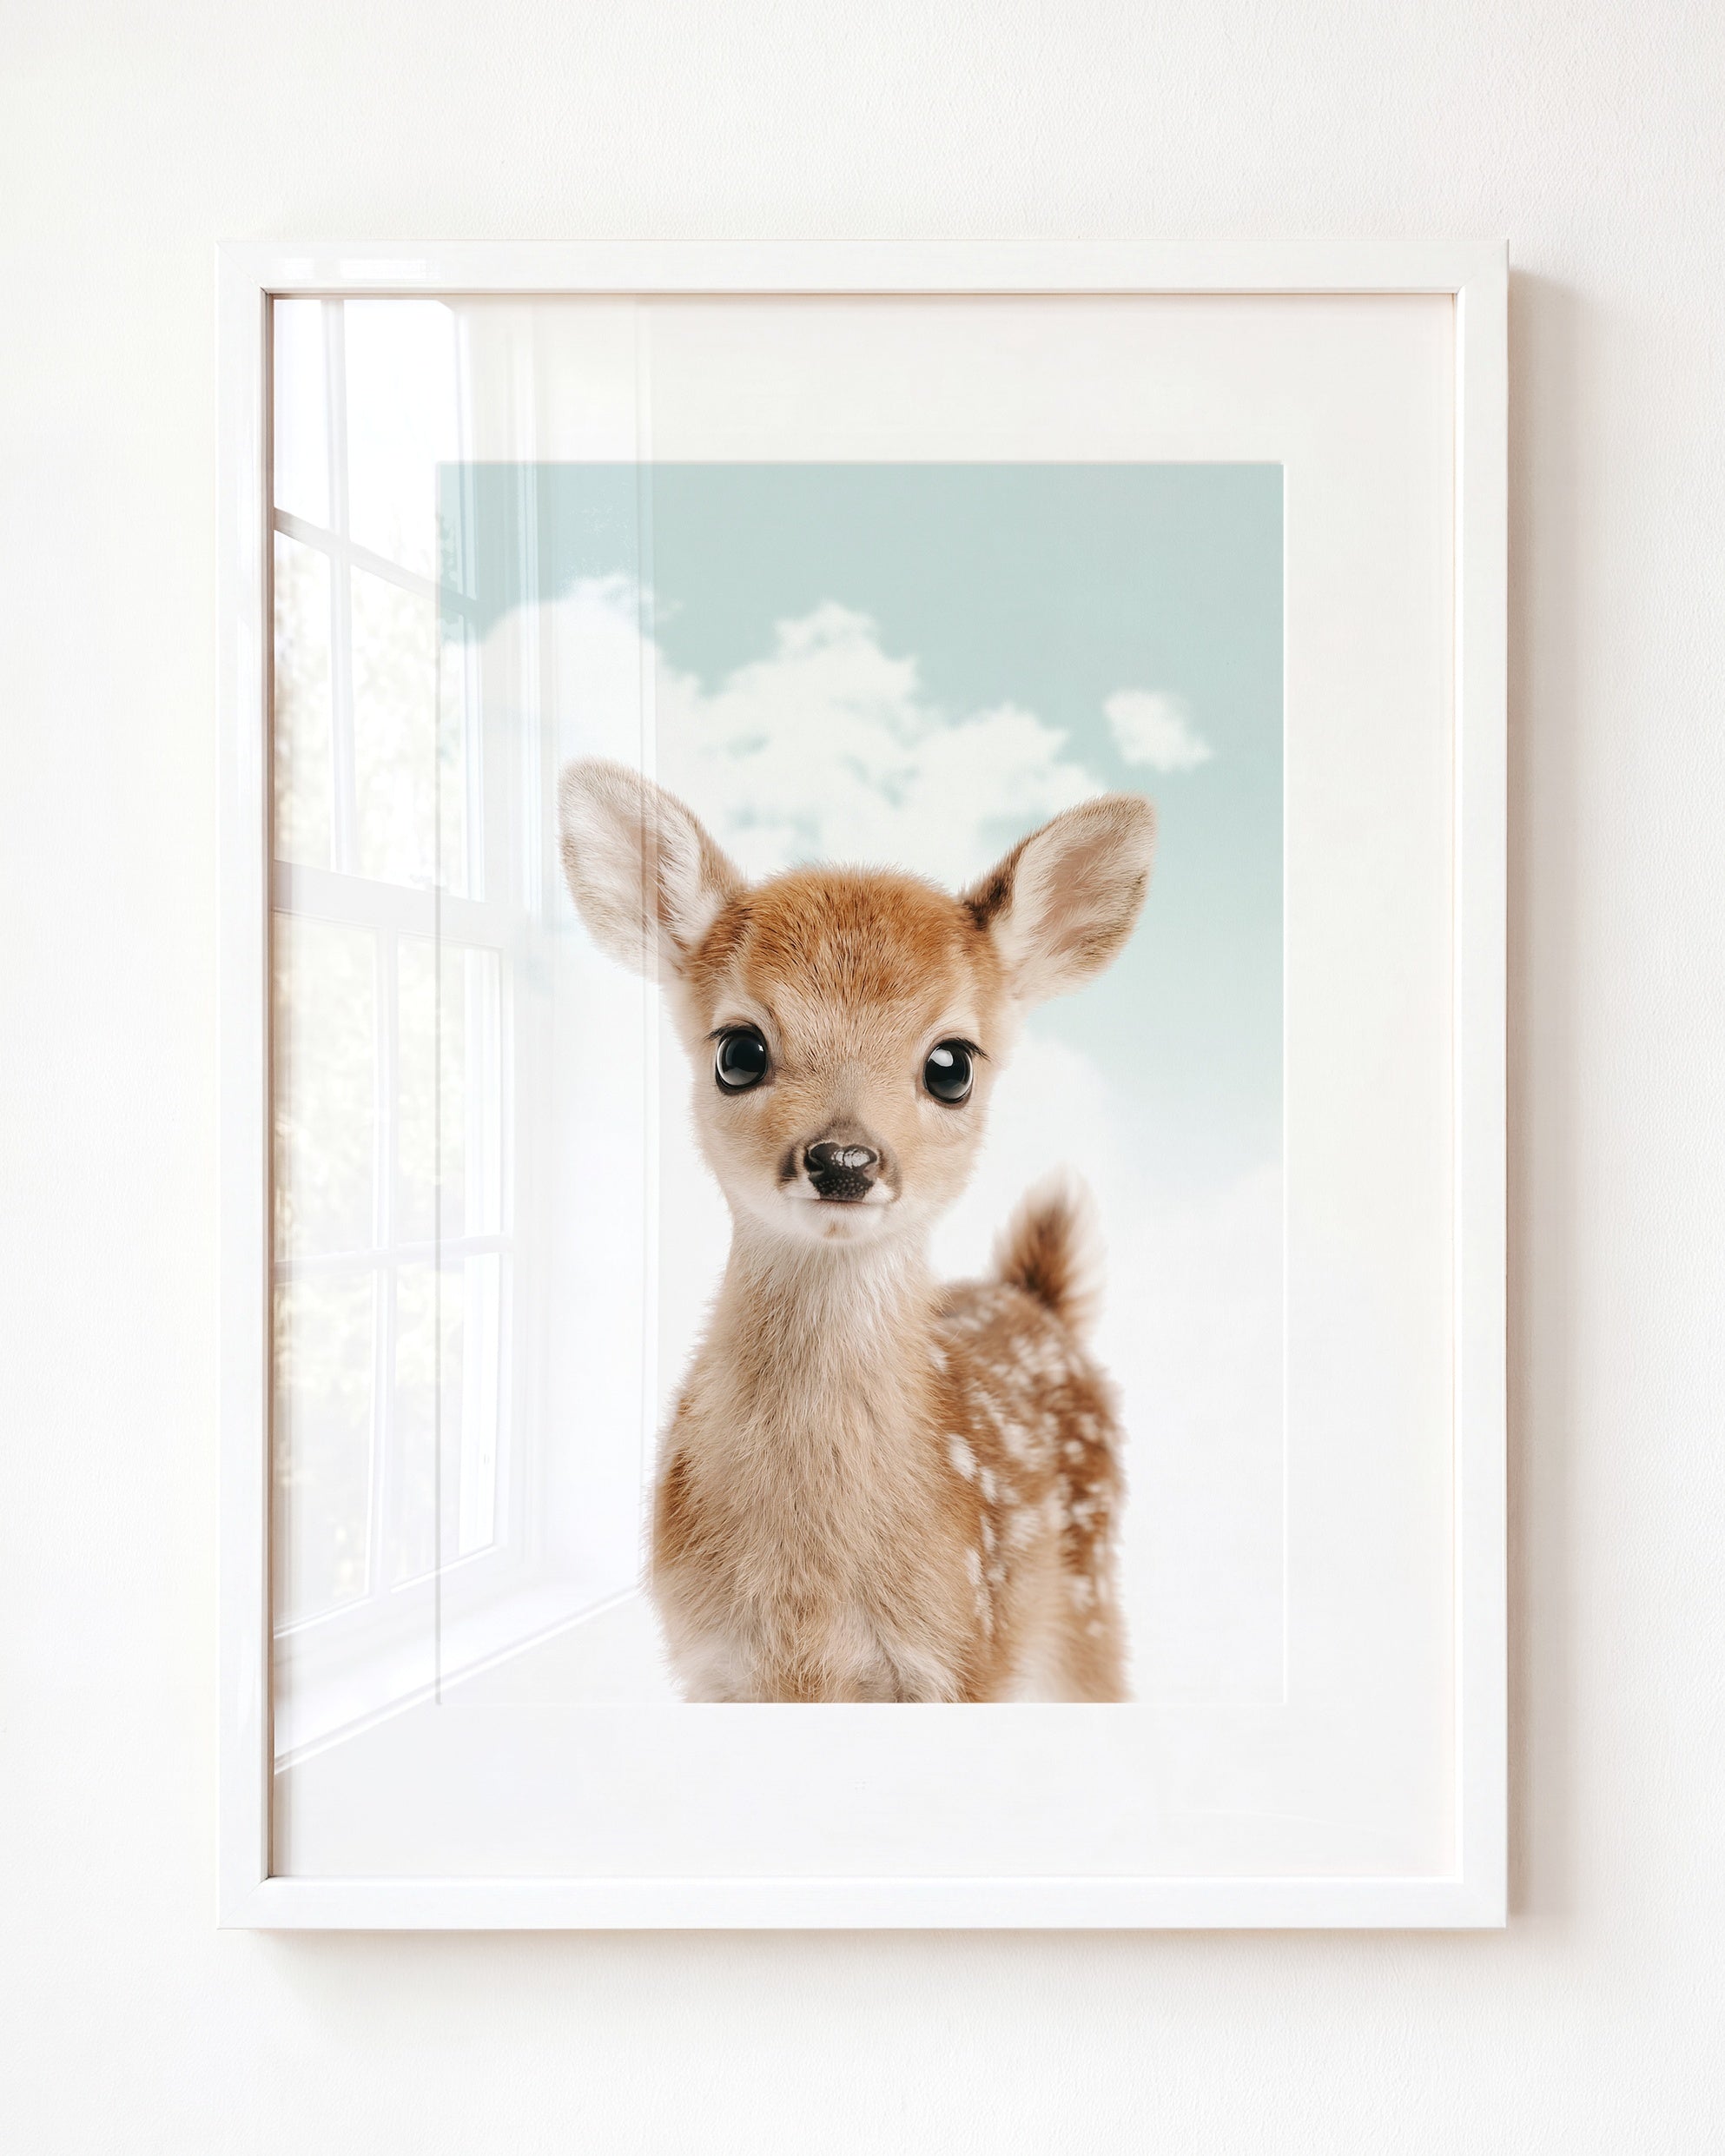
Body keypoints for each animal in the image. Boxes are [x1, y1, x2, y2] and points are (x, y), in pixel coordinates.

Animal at [558, 759, 1156, 1701]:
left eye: (951, 1064)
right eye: (738, 1051)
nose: (843, 1158)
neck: (811, 1602)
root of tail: (1037, 1299)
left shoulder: (960, 1652)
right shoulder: (710, 1663)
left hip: (1086, 1602)